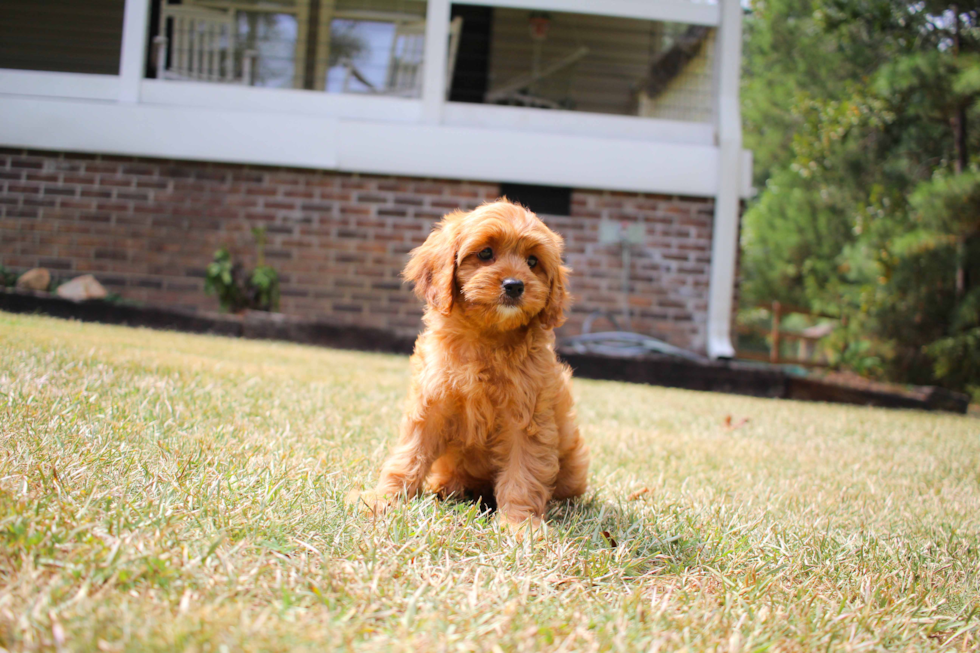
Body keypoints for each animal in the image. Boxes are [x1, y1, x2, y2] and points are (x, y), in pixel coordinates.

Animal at [360, 197, 588, 524]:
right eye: (485, 253)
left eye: (533, 261)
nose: (515, 285)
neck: (486, 337)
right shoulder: (430, 404)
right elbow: (409, 454)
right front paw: (383, 499)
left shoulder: (527, 418)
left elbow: (524, 471)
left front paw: (519, 524)